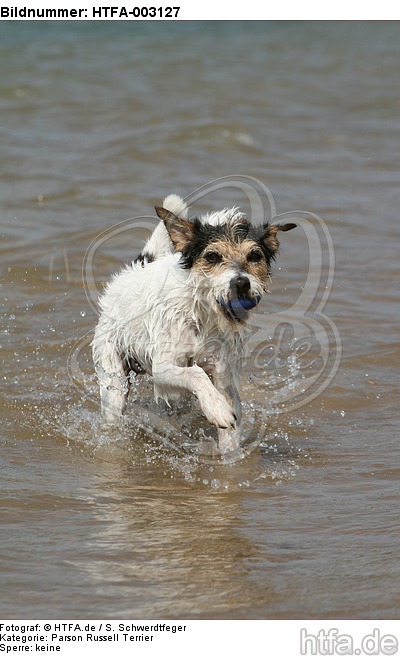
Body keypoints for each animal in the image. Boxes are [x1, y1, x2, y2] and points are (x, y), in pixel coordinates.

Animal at [92, 192, 296, 454]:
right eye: (212, 256)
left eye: (254, 256)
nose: (241, 283)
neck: (205, 314)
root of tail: (134, 271)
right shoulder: (162, 368)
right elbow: (195, 373)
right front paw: (217, 409)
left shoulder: (223, 375)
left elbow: (230, 425)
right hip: (114, 378)